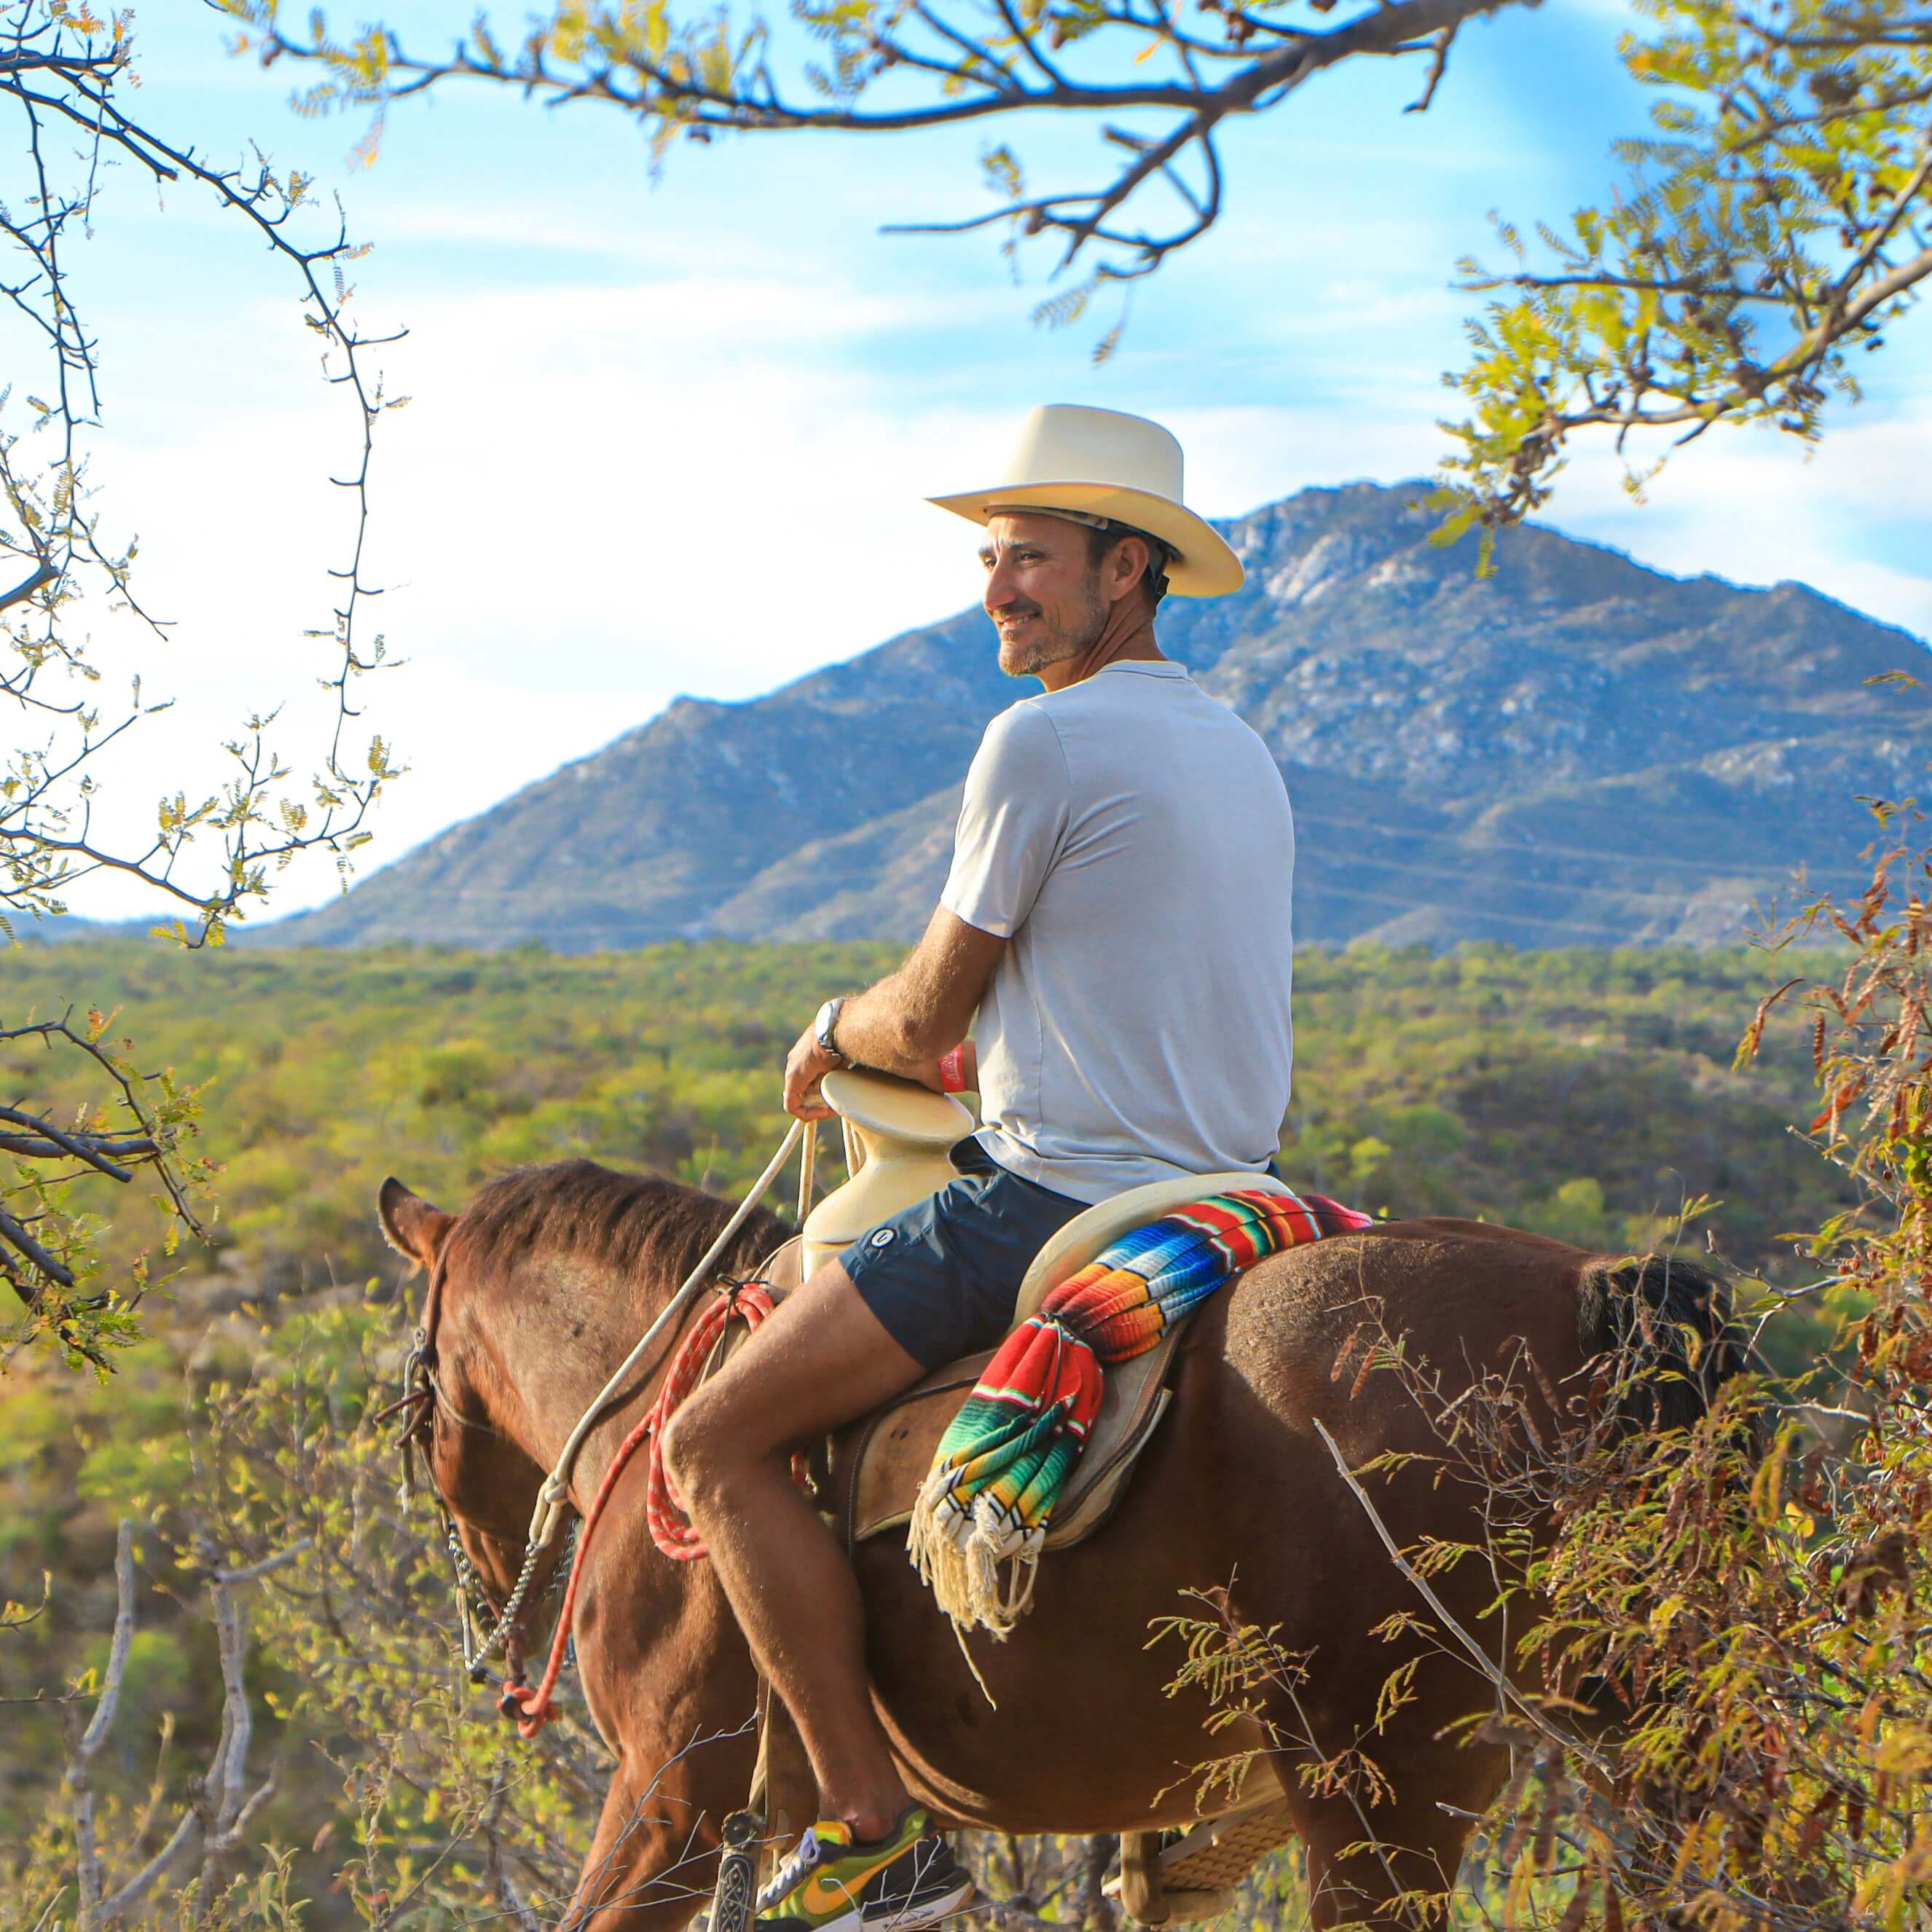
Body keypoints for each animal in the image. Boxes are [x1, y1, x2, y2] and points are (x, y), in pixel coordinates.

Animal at [377, 1151, 1738, 1932]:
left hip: (1380, 1785)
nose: (499, 1612)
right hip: (1642, 1746)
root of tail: (1596, 1294)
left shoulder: (669, 1799)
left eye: (412, 1395)